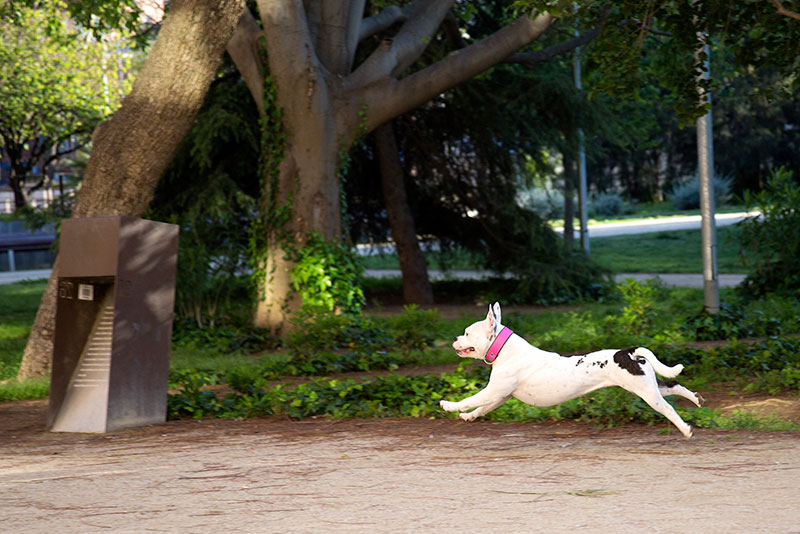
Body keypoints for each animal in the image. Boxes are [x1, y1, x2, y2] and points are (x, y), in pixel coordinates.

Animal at [440, 304, 704, 438]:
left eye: (466, 333)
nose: (453, 338)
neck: (505, 349)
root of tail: (628, 352)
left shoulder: (493, 391)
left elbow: (470, 399)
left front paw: (450, 406)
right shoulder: (501, 396)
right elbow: (481, 408)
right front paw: (468, 417)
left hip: (647, 394)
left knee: (668, 408)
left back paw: (685, 429)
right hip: (649, 385)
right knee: (674, 385)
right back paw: (696, 399)